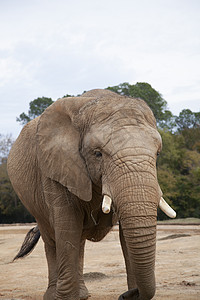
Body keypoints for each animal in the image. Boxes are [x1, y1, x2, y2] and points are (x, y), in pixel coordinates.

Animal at [7, 89, 175, 300]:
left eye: (158, 153)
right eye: (98, 154)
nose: (127, 294)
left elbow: (126, 236)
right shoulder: (56, 167)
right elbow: (67, 228)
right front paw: (65, 298)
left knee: (77, 240)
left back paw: (82, 294)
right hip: (34, 202)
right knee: (53, 239)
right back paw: (55, 295)